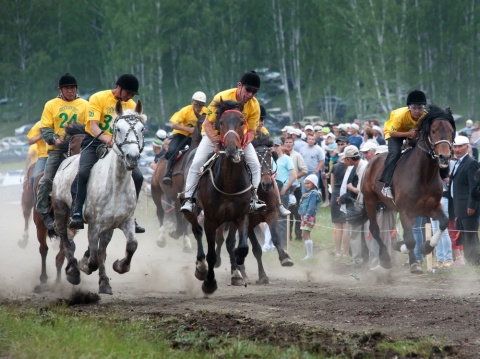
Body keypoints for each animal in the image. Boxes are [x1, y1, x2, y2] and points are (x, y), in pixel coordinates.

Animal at [18, 122, 84, 292]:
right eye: (74, 146)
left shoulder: (70, 225)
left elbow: (63, 252)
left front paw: (60, 281)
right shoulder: (41, 223)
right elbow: (44, 249)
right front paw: (44, 280)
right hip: (28, 201)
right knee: (28, 218)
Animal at [151, 112, 205, 253]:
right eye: (200, 122)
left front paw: (186, 243)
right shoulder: (180, 195)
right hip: (155, 190)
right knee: (160, 212)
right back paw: (161, 238)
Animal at [182, 98, 251, 296]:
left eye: (242, 122)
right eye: (221, 122)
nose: (232, 149)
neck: (228, 182)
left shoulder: (240, 215)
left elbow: (239, 246)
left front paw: (237, 271)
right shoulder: (211, 219)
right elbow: (211, 253)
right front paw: (209, 282)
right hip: (193, 208)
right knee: (196, 231)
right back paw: (200, 267)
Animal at [216, 138, 294, 286]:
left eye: (269, 156)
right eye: (255, 158)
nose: (267, 184)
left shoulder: (271, 214)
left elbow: (275, 237)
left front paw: (284, 258)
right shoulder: (248, 222)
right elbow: (256, 249)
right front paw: (261, 275)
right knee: (223, 239)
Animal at [362, 105, 456, 274]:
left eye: (451, 131)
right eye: (433, 131)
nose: (444, 157)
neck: (424, 176)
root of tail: (371, 161)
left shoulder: (431, 207)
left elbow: (444, 222)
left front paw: (426, 247)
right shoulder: (405, 209)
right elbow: (410, 240)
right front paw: (401, 249)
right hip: (370, 201)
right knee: (375, 230)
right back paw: (386, 258)